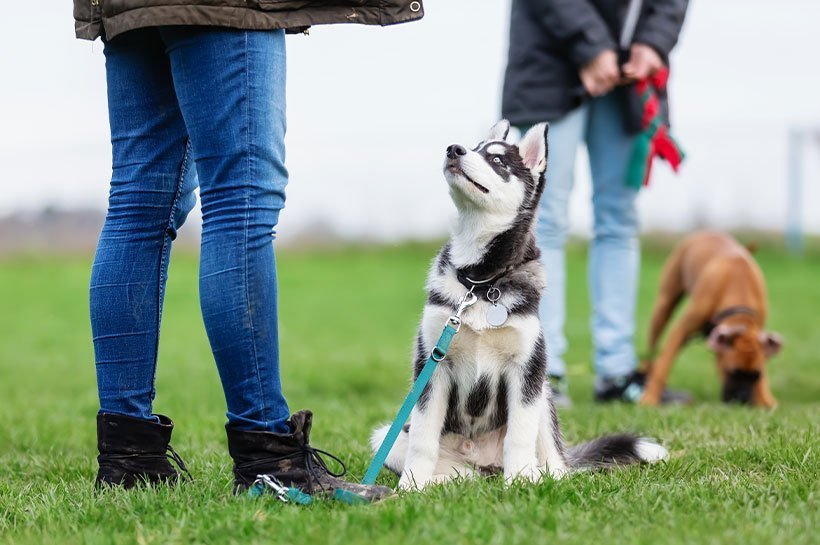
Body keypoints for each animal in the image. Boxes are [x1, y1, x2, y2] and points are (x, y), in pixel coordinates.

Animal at [372, 120, 668, 488]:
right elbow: (423, 438)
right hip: (387, 435)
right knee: (457, 471)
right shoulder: (432, 364)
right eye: (473, 147)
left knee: (552, 461)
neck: (480, 282)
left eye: (498, 160)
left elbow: (519, 435)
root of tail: (483, 463)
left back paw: (539, 477)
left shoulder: (527, 369)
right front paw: (411, 487)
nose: (454, 149)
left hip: (544, 397)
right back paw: (447, 483)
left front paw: (521, 484)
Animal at [640, 232, 780, 406]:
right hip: (664, 306)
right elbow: (663, 365)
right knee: (653, 349)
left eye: (755, 375)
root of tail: (707, 232)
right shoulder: (680, 331)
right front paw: (650, 398)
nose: (742, 401)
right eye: (731, 372)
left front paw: (764, 399)